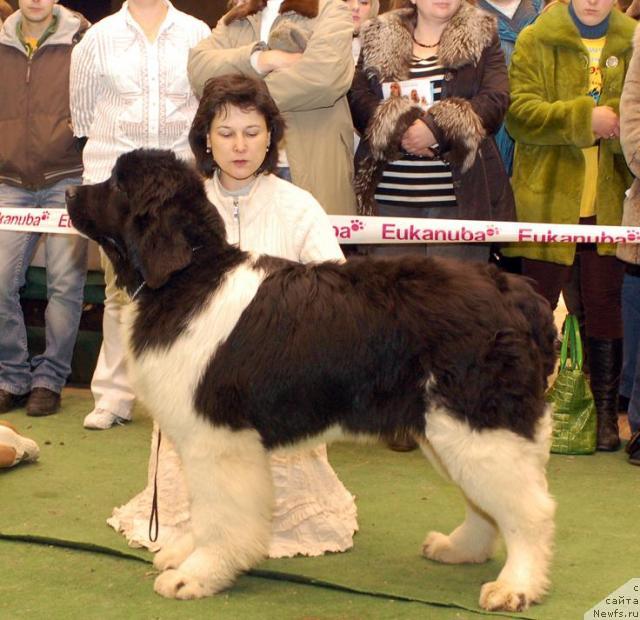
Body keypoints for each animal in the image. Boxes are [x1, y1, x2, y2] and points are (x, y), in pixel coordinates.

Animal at [63, 149, 556, 612]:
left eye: (118, 185)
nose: (68, 192)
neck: (188, 279)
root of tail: (514, 291)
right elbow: (204, 508)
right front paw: (185, 554)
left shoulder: (218, 438)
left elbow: (220, 514)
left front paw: (197, 574)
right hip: (450, 428)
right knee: (487, 502)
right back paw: (460, 548)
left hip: (477, 421)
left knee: (530, 509)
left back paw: (516, 586)